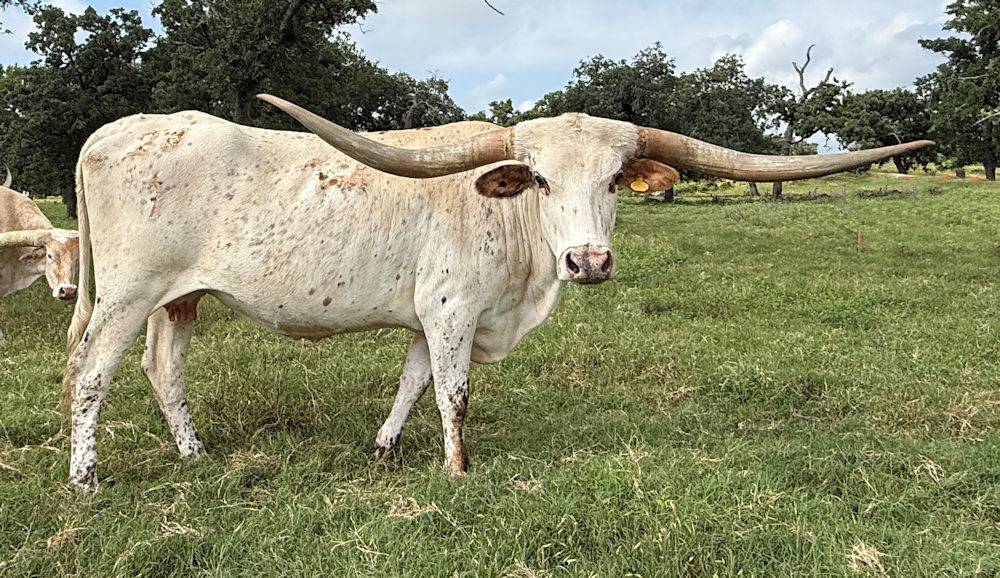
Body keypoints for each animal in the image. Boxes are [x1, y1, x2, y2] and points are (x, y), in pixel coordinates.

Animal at [60, 95, 933, 491]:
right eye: (539, 178)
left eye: (616, 178)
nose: (589, 261)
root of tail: (113, 130)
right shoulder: (452, 313)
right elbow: (453, 392)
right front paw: (457, 468)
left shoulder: (426, 319)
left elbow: (411, 384)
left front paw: (385, 448)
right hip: (127, 295)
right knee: (92, 375)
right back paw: (86, 477)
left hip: (178, 299)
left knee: (163, 369)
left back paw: (194, 452)